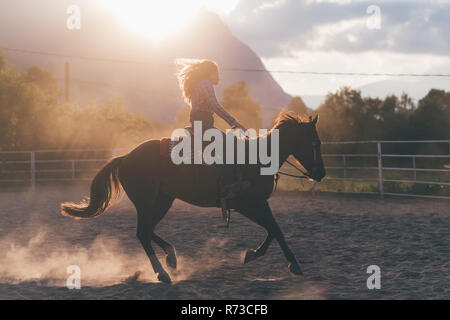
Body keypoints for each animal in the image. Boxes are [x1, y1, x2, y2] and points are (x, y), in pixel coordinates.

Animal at [61, 111, 326, 284]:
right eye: (316, 142)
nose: (321, 173)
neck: (257, 160)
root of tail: (126, 157)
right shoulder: (248, 204)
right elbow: (276, 229)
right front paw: (293, 264)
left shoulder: (256, 204)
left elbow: (273, 229)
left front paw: (252, 254)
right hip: (147, 203)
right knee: (142, 233)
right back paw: (163, 273)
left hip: (163, 201)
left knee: (147, 231)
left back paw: (171, 258)